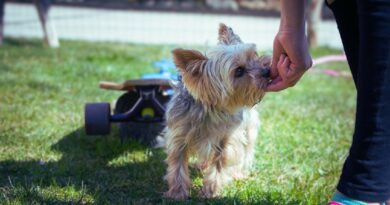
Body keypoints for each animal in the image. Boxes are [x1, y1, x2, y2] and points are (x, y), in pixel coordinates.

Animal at [163, 23, 270, 199]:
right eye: (239, 71)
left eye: (254, 56)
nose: (267, 71)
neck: (211, 110)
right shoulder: (179, 137)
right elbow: (177, 165)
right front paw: (177, 192)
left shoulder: (227, 140)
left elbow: (220, 164)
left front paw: (211, 190)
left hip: (249, 129)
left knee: (245, 152)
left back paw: (238, 174)